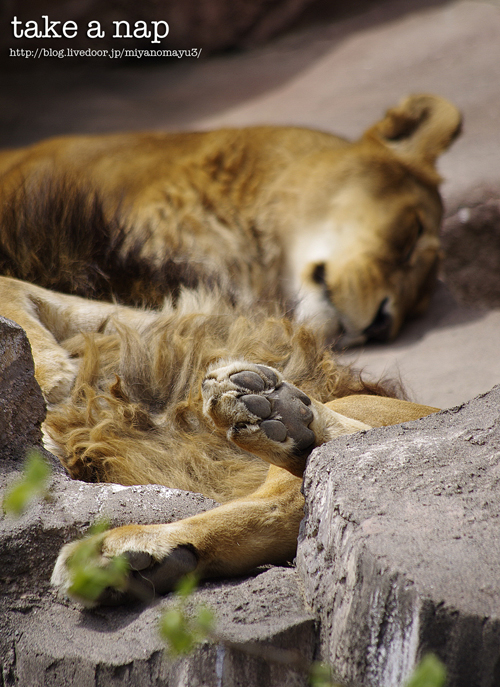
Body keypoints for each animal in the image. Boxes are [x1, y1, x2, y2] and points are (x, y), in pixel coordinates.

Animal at [0, 94, 458, 604]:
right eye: (409, 234)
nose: (382, 321)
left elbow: (13, 288)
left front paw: (48, 393)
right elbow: (17, 290)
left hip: (366, 407)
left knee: (352, 458)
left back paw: (274, 414)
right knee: (294, 502)